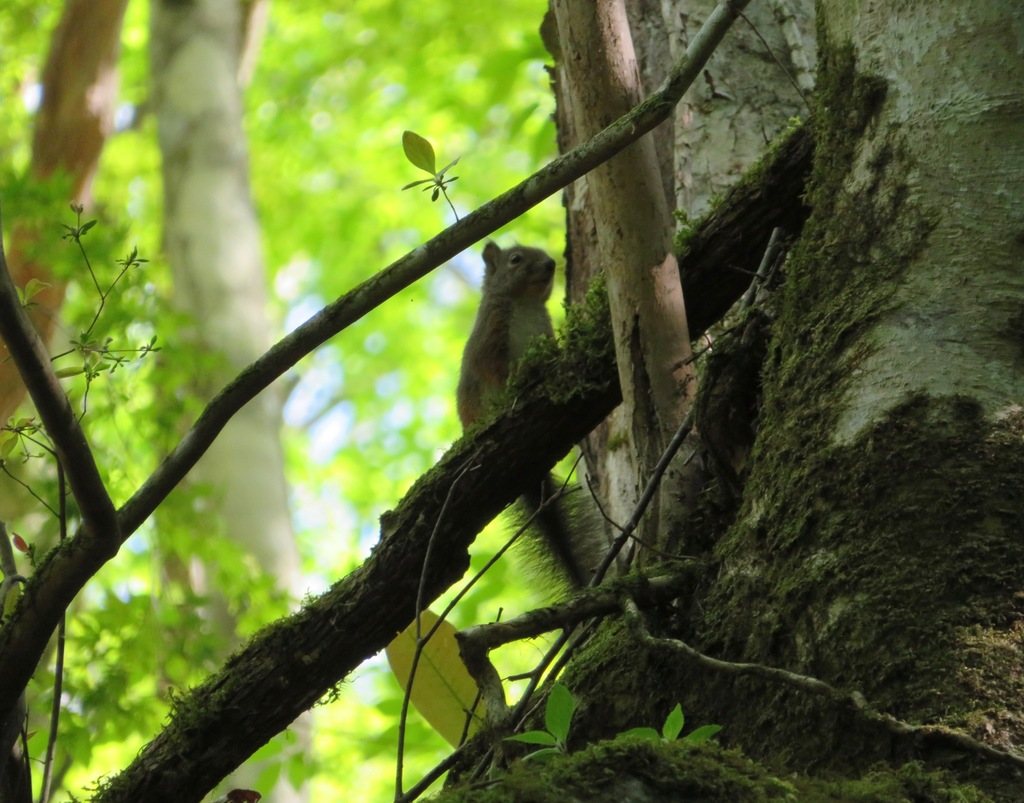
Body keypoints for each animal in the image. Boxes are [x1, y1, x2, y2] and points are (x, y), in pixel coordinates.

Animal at [457, 241, 607, 588]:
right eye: (515, 259)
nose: (551, 264)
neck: (524, 303)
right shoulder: (491, 338)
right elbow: (495, 370)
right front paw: (515, 383)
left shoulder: (544, 331)